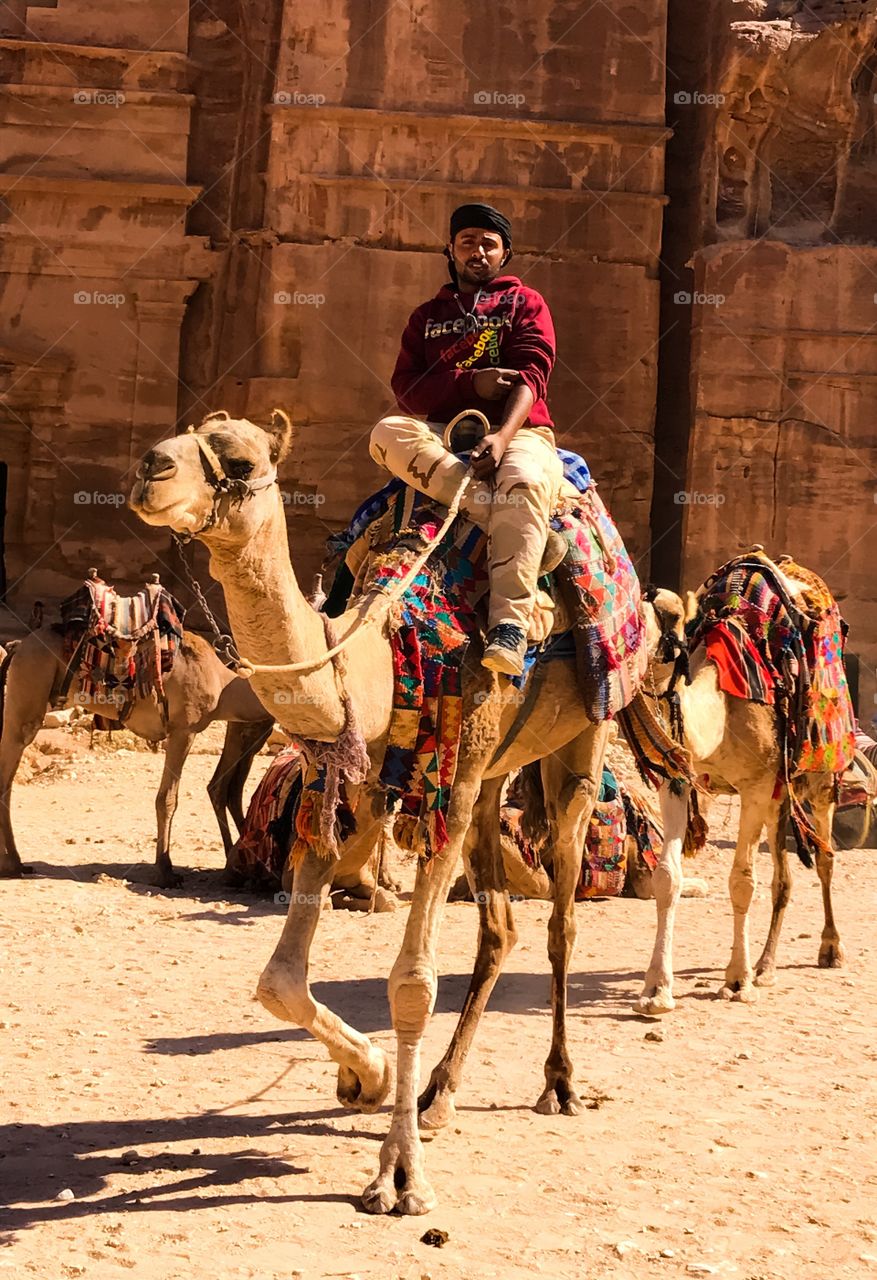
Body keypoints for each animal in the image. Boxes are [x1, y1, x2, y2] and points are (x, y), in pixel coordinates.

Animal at [0, 628, 273, 886]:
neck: (222, 683)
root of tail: (18, 646)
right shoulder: (183, 730)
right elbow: (167, 799)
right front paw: (165, 871)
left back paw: (16, 862)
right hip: (28, 692)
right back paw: (13, 864)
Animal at [129, 408, 687, 1215]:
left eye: (238, 462)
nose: (151, 467)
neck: (383, 656)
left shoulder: (443, 780)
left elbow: (412, 984)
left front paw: (399, 1177)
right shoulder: (346, 788)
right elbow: (279, 980)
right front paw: (368, 1077)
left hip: (583, 731)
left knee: (562, 916)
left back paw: (558, 1083)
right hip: (489, 777)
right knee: (499, 928)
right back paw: (438, 1092)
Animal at [638, 578, 844, 1015]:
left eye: (673, 616)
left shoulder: (755, 785)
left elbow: (742, 881)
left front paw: (737, 981)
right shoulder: (679, 780)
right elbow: (667, 877)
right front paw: (656, 991)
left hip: (820, 777)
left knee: (825, 857)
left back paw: (829, 949)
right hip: (780, 798)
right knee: (784, 879)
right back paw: (766, 965)